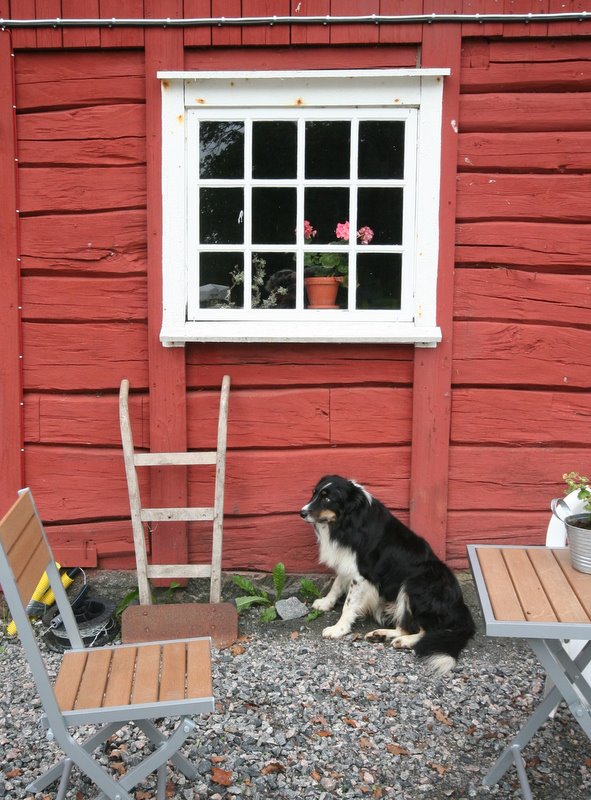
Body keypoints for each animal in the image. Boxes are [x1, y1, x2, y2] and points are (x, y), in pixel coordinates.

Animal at [300, 476, 476, 676]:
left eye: (327, 499)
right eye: (314, 493)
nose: (302, 512)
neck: (349, 520)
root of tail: (461, 608)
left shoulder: (362, 573)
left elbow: (349, 604)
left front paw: (338, 629)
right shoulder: (348, 561)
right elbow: (336, 585)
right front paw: (325, 603)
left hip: (415, 583)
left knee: (426, 631)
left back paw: (404, 642)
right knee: (405, 627)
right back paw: (380, 634)